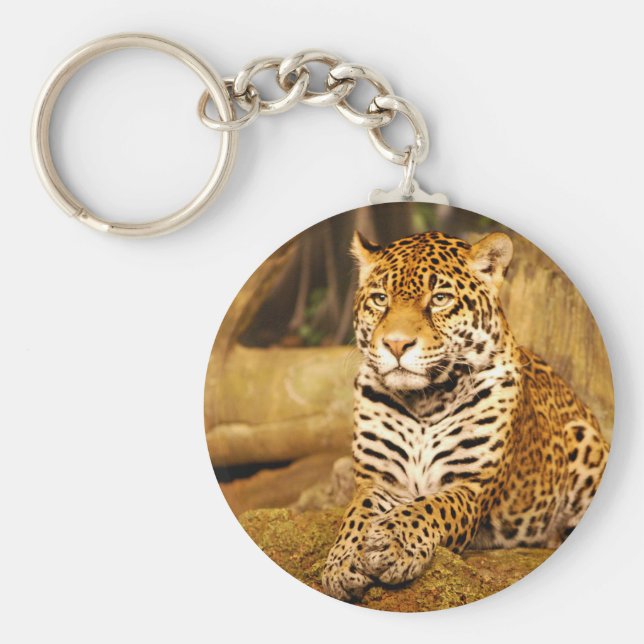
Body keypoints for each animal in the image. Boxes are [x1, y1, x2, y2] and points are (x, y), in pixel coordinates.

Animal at [321, 228, 609, 602]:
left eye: (441, 298)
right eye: (381, 299)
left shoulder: (470, 486)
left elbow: (428, 508)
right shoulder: (378, 481)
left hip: (585, 441)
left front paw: (393, 545)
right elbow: (355, 515)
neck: (425, 401)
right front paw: (342, 561)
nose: (396, 344)